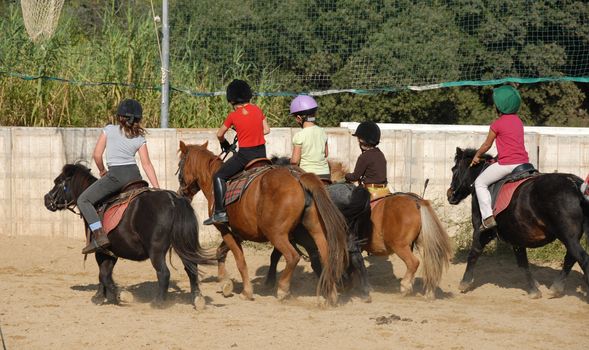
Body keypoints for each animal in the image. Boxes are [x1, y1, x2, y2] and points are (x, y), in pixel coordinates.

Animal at [44, 163, 216, 308]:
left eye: (58, 182)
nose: (46, 199)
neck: (96, 205)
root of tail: (172, 199)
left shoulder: (100, 250)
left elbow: (103, 274)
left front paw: (118, 295)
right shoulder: (110, 252)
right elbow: (105, 273)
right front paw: (102, 296)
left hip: (156, 250)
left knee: (164, 273)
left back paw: (158, 302)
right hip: (183, 245)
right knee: (191, 268)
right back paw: (197, 299)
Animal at [176, 141, 350, 304]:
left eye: (179, 166)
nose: (181, 193)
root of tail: (297, 177)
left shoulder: (223, 228)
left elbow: (239, 260)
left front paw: (246, 291)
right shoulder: (239, 232)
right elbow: (221, 251)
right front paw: (226, 283)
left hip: (276, 234)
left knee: (293, 257)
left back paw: (283, 289)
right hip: (314, 229)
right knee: (326, 256)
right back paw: (331, 294)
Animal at [446, 148, 588, 298]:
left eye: (454, 169)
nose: (449, 194)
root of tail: (575, 184)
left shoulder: (482, 230)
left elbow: (474, 253)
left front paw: (465, 282)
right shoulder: (516, 235)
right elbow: (522, 262)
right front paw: (534, 288)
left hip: (567, 236)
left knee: (583, 259)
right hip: (571, 237)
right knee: (571, 258)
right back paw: (556, 287)